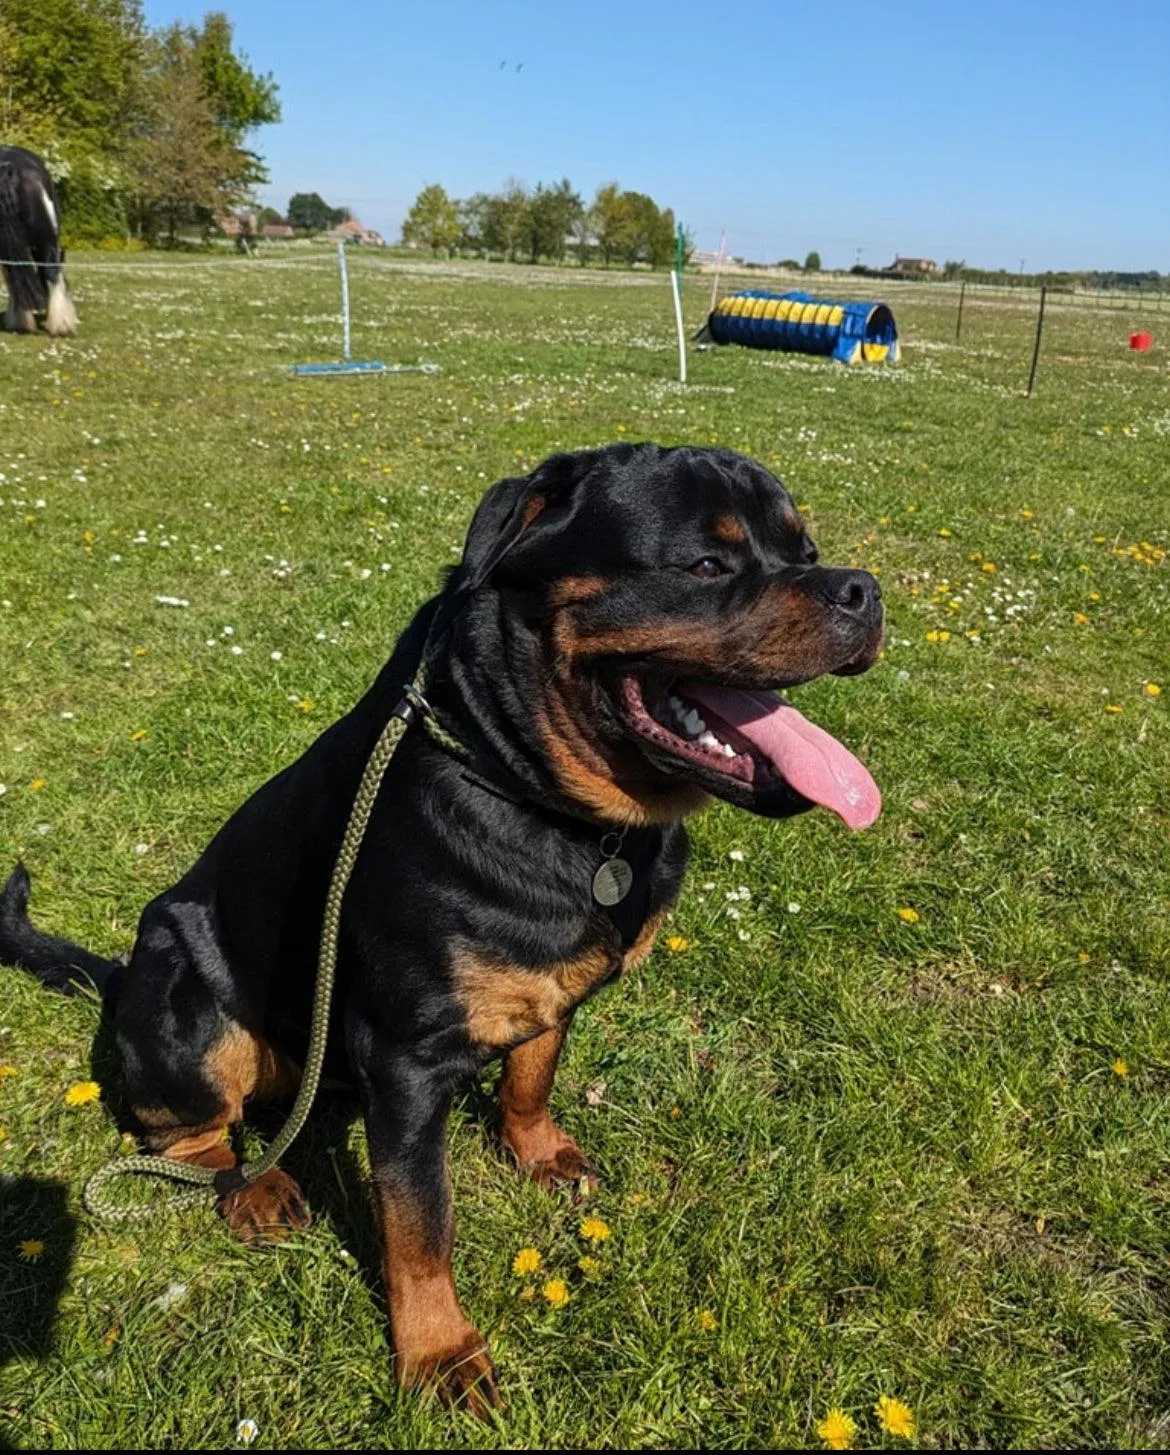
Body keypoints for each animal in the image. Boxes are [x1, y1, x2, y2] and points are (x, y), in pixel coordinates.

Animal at [0, 439, 878, 1408]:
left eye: (803, 549)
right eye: (706, 565)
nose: (860, 588)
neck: (545, 801)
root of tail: (122, 978)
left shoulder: (547, 988)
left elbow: (533, 1071)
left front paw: (537, 1150)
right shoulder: (407, 1058)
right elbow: (421, 1225)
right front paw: (439, 1351)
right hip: (186, 991)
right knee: (188, 1129)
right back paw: (253, 1188)